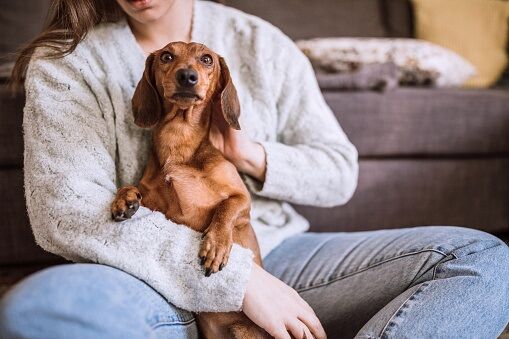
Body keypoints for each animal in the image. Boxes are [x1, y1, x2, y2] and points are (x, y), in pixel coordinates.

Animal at [109, 43, 268, 339]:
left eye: (207, 59)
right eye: (166, 56)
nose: (187, 76)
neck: (179, 139)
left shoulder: (243, 200)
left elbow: (225, 208)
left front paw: (216, 245)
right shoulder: (157, 203)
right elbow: (132, 187)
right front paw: (124, 199)